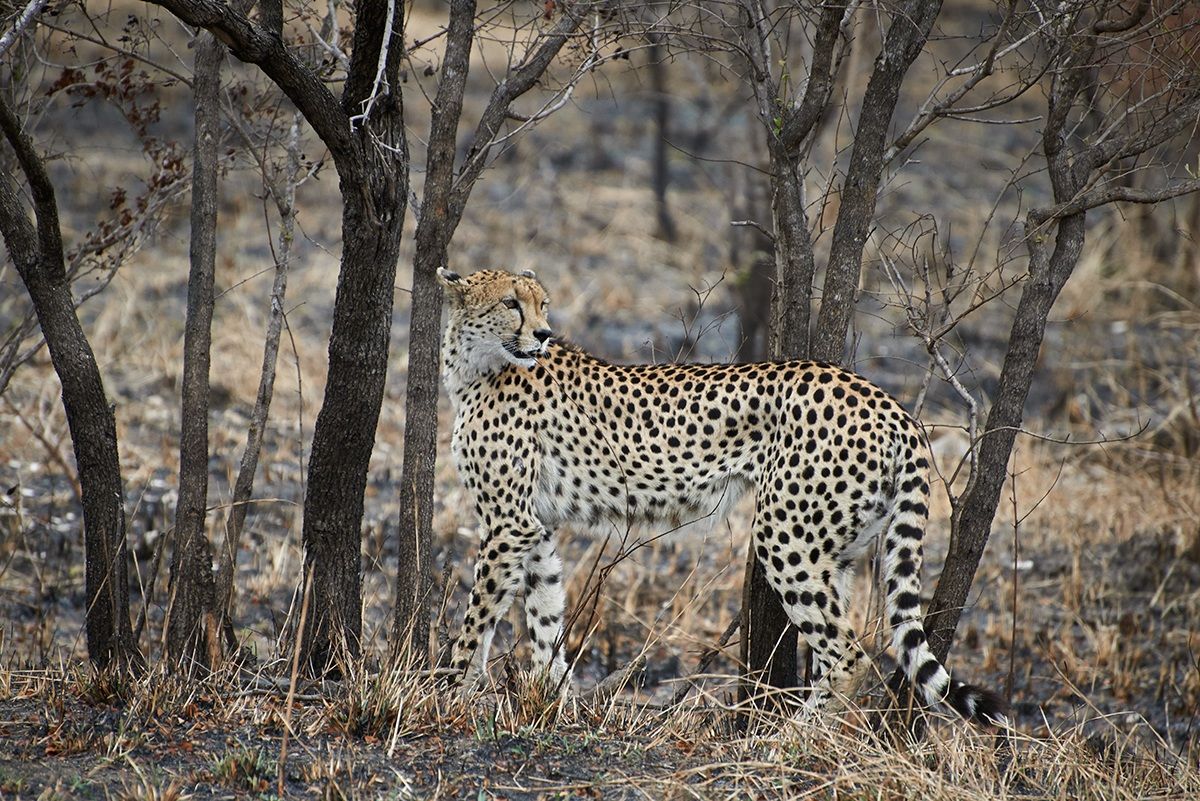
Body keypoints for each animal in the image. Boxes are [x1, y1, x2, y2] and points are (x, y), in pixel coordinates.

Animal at [438, 266, 1005, 725]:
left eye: (541, 304)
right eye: (511, 303)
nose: (543, 334)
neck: (474, 366)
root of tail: (885, 400)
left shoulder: (508, 524)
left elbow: (477, 618)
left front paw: (447, 692)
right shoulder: (533, 526)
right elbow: (545, 612)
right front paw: (550, 700)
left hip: (785, 537)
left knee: (849, 657)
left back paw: (789, 741)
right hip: (837, 548)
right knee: (839, 648)